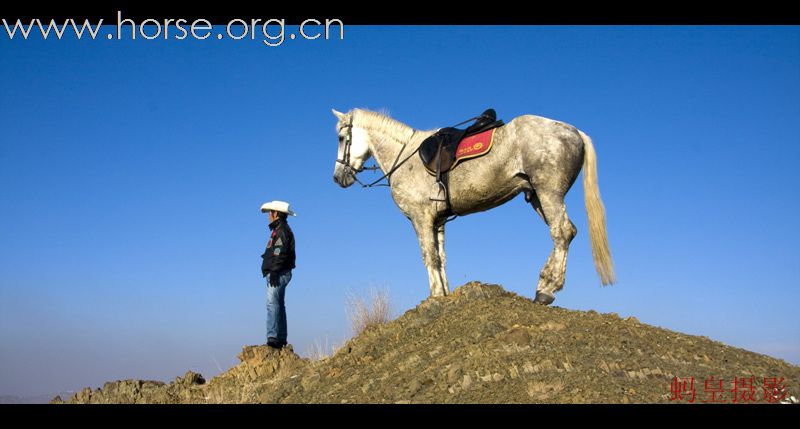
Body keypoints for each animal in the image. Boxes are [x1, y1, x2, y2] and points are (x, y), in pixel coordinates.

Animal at [332, 109, 612, 304]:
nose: (337, 177)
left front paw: (435, 295)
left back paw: (546, 289)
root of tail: (575, 131)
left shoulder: (420, 218)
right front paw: (445, 292)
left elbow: (428, 256)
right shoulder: (438, 220)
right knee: (568, 232)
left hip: (548, 193)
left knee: (561, 232)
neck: (405, 156)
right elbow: (441, 257)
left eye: (341, 138)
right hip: (537, 197)